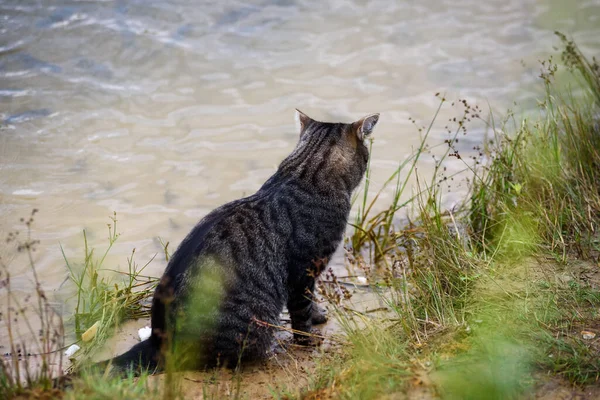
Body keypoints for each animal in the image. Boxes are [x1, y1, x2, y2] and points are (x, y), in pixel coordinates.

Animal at [106, 109, 380, 372]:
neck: (304, 174)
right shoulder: (303, 273)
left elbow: (310, 303)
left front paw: (318, 314)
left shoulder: (309, 274)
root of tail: (157, 342)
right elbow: (301, 312)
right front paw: (307, 338)